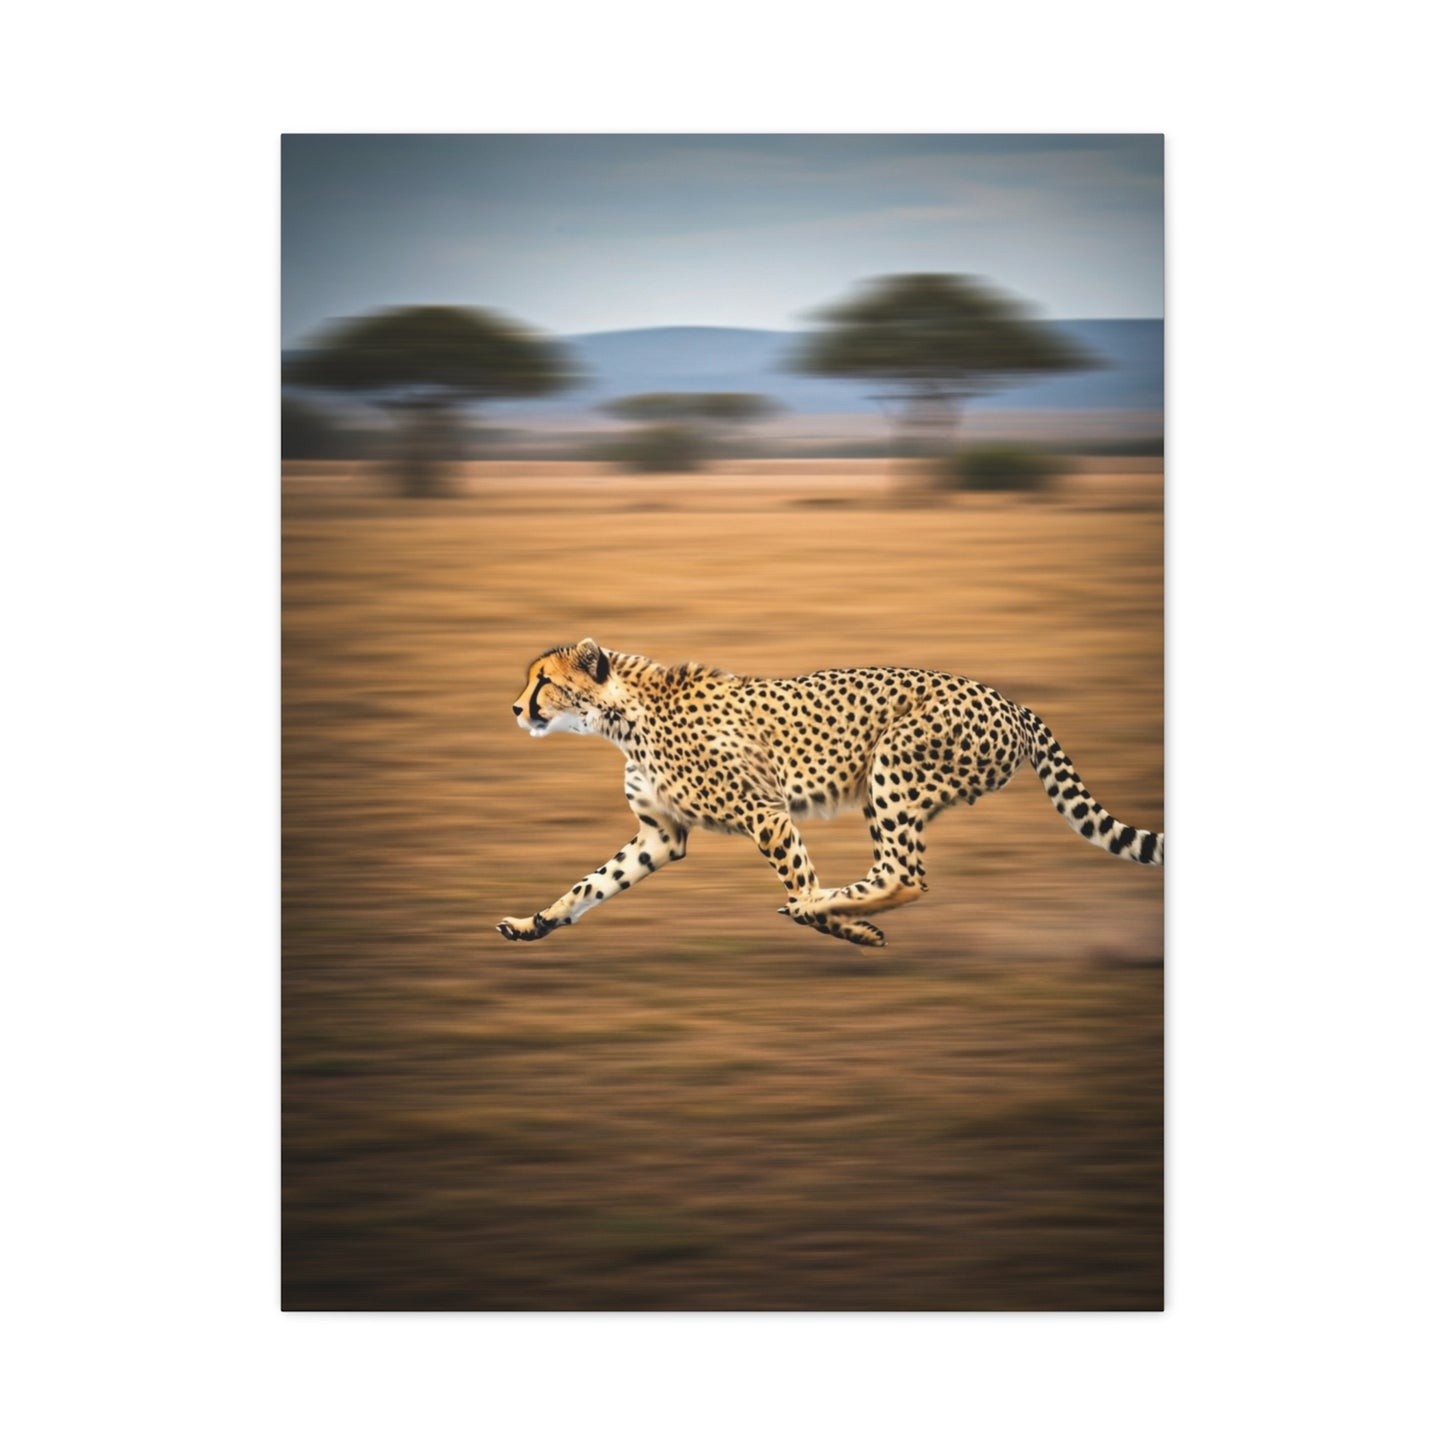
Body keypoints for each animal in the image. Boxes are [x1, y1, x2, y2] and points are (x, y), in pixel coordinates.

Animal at [497, 639, 1162, 948]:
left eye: (544, 682)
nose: (515, 708)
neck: (624, 714)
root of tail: (1009, 699)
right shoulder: (661, 835)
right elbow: (592, 883)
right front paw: (534, 922)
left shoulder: (764, 813)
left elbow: (797, 877)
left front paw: (840, 925)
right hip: (883, 786)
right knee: (898, 871)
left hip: (892, 764)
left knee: (905, 876)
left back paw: (824, 907)